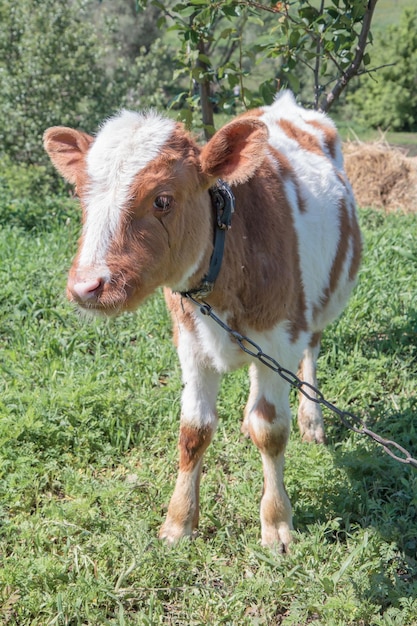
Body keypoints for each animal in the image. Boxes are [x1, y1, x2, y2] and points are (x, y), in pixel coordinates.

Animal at [43, 90, 360, 548]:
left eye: (162, 199)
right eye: (81, 195)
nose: (86, 286)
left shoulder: (281, 335)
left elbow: (271, 430)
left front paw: (277, 522)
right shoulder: (191, 343)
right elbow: (194, 431)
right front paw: (179, 522)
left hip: (319, 305)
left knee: (311, 355)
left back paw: (311, 420)